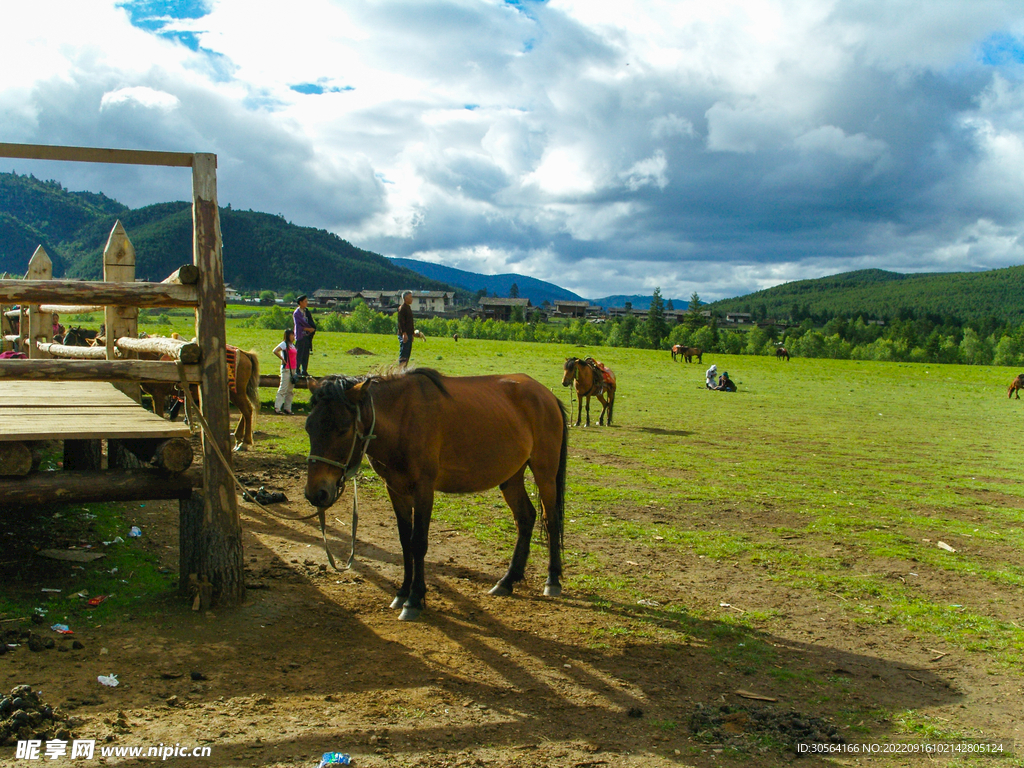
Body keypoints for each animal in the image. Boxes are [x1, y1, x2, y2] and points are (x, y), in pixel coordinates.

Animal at [299, 370, 573, 622]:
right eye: (309, 427)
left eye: (343, 429)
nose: (317, 493)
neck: (402, 419)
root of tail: (546, 395)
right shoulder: (395, 490)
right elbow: (405, 541)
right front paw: (402, 592)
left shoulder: (423, 489)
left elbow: (418, 542)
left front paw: (414, 599)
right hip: (511, 476)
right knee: (526, 518)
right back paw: (507, 581)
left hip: (545, 473)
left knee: (550, 520)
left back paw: (552, 580)